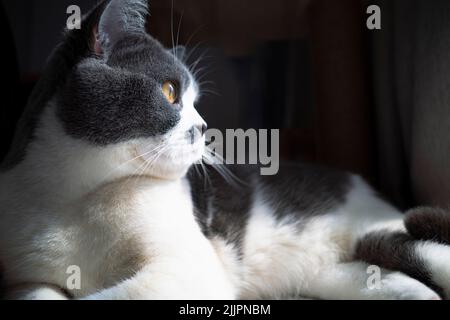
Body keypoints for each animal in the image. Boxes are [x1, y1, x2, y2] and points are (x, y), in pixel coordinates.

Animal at [0, 0, 450, 300]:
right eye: (170, 92)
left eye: (196, 101)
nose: (203, 128)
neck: (76, 198)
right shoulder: (27, 279)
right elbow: (41, 293)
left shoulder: (187, 267)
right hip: (345, 274)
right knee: (411, 286)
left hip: (384, 233)